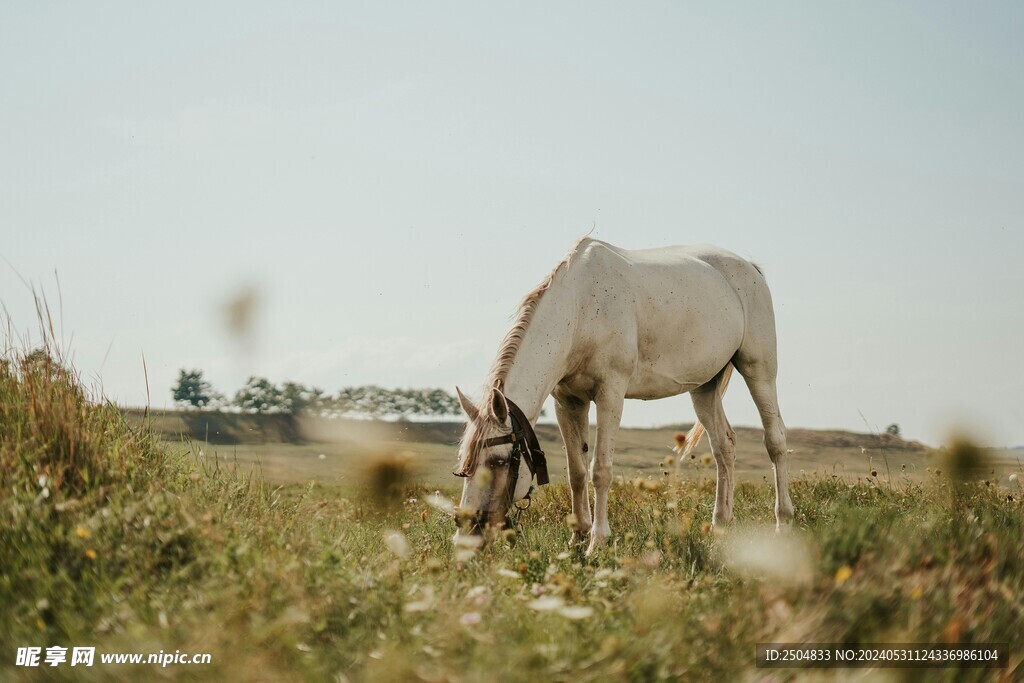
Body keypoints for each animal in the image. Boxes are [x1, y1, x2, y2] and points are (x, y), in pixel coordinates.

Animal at [453, 237, 794, 555]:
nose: (466, 534)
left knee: (774, 440)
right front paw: (577, 537)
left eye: (497, 462)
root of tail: (750, 267)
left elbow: (600, 470)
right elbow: (577, 472)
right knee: (724, 447)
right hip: (705, 387)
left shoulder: (610, 394)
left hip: (758, 369)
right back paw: (720, 524)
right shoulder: (567, 402)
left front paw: (597, 541)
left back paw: (783, 523)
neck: (581, 309)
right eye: (465, 464)